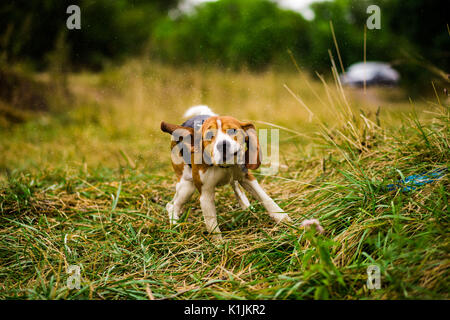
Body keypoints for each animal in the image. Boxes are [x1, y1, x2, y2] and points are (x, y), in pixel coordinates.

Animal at [161, 105, 292, 240]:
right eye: (209, 135)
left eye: (233, 131)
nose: (223, 145)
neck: (224, 167)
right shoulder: (205, 195)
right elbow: (212, 224)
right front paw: (219, 244)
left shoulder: (247, 177)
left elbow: (265, 198)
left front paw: (283, 218)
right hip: (186, 186)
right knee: (171, 205)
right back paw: (175, 225)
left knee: (235, 185)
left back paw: (245, 204)